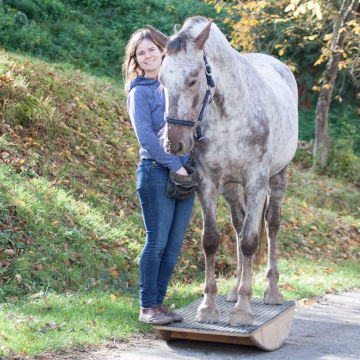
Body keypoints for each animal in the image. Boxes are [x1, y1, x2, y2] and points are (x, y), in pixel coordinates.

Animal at [147, 16, 298, 326]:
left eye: (193, 78)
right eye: (161, 80)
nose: (174, 143)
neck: (230, 115)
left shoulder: (256, 182)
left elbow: (251, 242)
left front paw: (243, 310)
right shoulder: (207, 182)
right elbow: (212, 241)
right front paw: (209, 306)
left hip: (278, 177)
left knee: (271, 225)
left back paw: (271, 290)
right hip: (230, 187)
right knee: (239, 226)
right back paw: (234, 290)